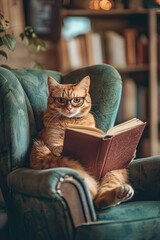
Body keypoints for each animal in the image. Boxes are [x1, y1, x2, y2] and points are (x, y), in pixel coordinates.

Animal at [29, 75, 134, 208]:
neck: (70, 121)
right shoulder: (51, 142)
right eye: (61, 100)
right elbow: (57, 146)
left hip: (114, 168)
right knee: (96, 199)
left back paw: (121, 193)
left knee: (101, 197)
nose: (69, 108)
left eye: (76, 100)